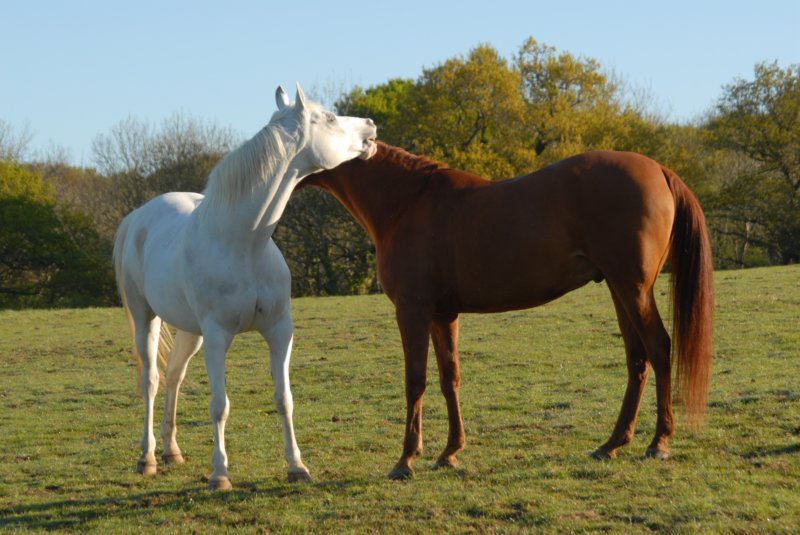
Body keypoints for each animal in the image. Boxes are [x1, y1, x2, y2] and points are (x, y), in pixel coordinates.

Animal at [112, 86, 378, 492]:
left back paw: (172, 451)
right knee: (152, 381)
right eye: (330, 118)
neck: (245, 242)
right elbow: (219, 405)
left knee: (174, 377)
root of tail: (138, 217)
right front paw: (220, 474)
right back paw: (148, 458)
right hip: (148, 319)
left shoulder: (280, 331)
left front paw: (297, 466)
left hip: (191, 332)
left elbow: (284, 399)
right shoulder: (218, 336)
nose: (371, 126)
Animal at [300, 142, 712, 482]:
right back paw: (612, 443)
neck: (406, 202)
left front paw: (406, 461)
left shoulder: (412, 311)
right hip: (619, 289)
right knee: (637, 358)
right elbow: (450, 378)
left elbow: (415, 381)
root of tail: (659, 169)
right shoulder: (442, 316)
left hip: (632, 289)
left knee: (659, 348)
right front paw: (449, 453)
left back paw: (658, 442)